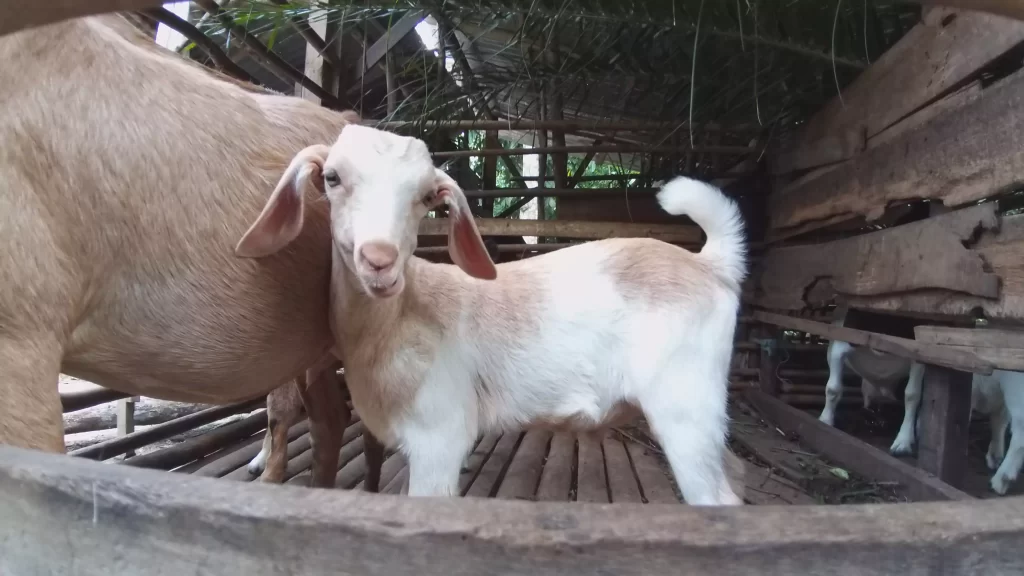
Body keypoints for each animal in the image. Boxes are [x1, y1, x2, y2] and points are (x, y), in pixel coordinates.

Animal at [235, 125, 747, 505]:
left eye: (426, 197)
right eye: (332, 178)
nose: (379, 260)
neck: (397, 319)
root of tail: (710, 263)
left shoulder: (438, 436)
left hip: (685, 404)